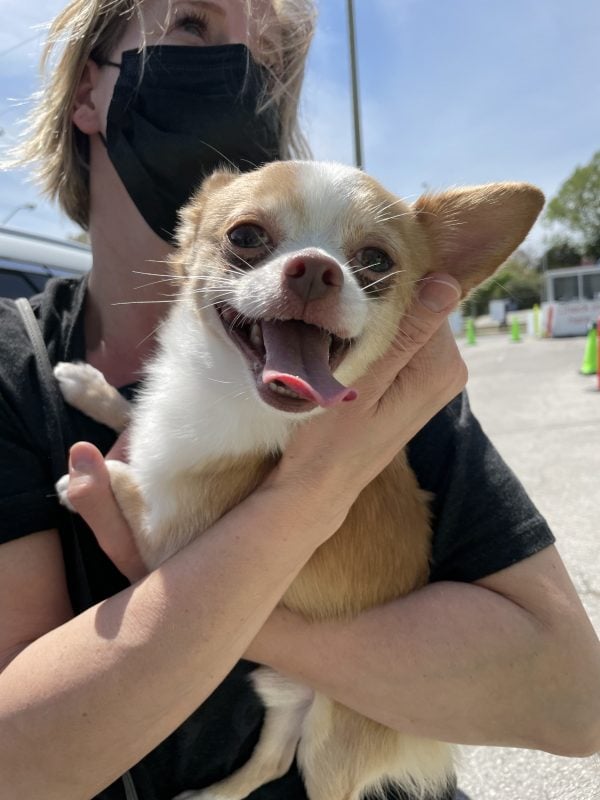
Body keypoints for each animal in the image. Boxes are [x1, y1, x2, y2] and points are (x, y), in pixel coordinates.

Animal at [55, 162, 544, 800]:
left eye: (375, 261)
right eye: (245, 236)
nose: (314, 268)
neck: (221, 391)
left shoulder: (171, 540)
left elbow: (133, 483)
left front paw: (91, 476)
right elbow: (136, 421)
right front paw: (90, 389)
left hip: (333, 742)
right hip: (281, 696)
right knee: (271, 760)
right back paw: (210, 795)